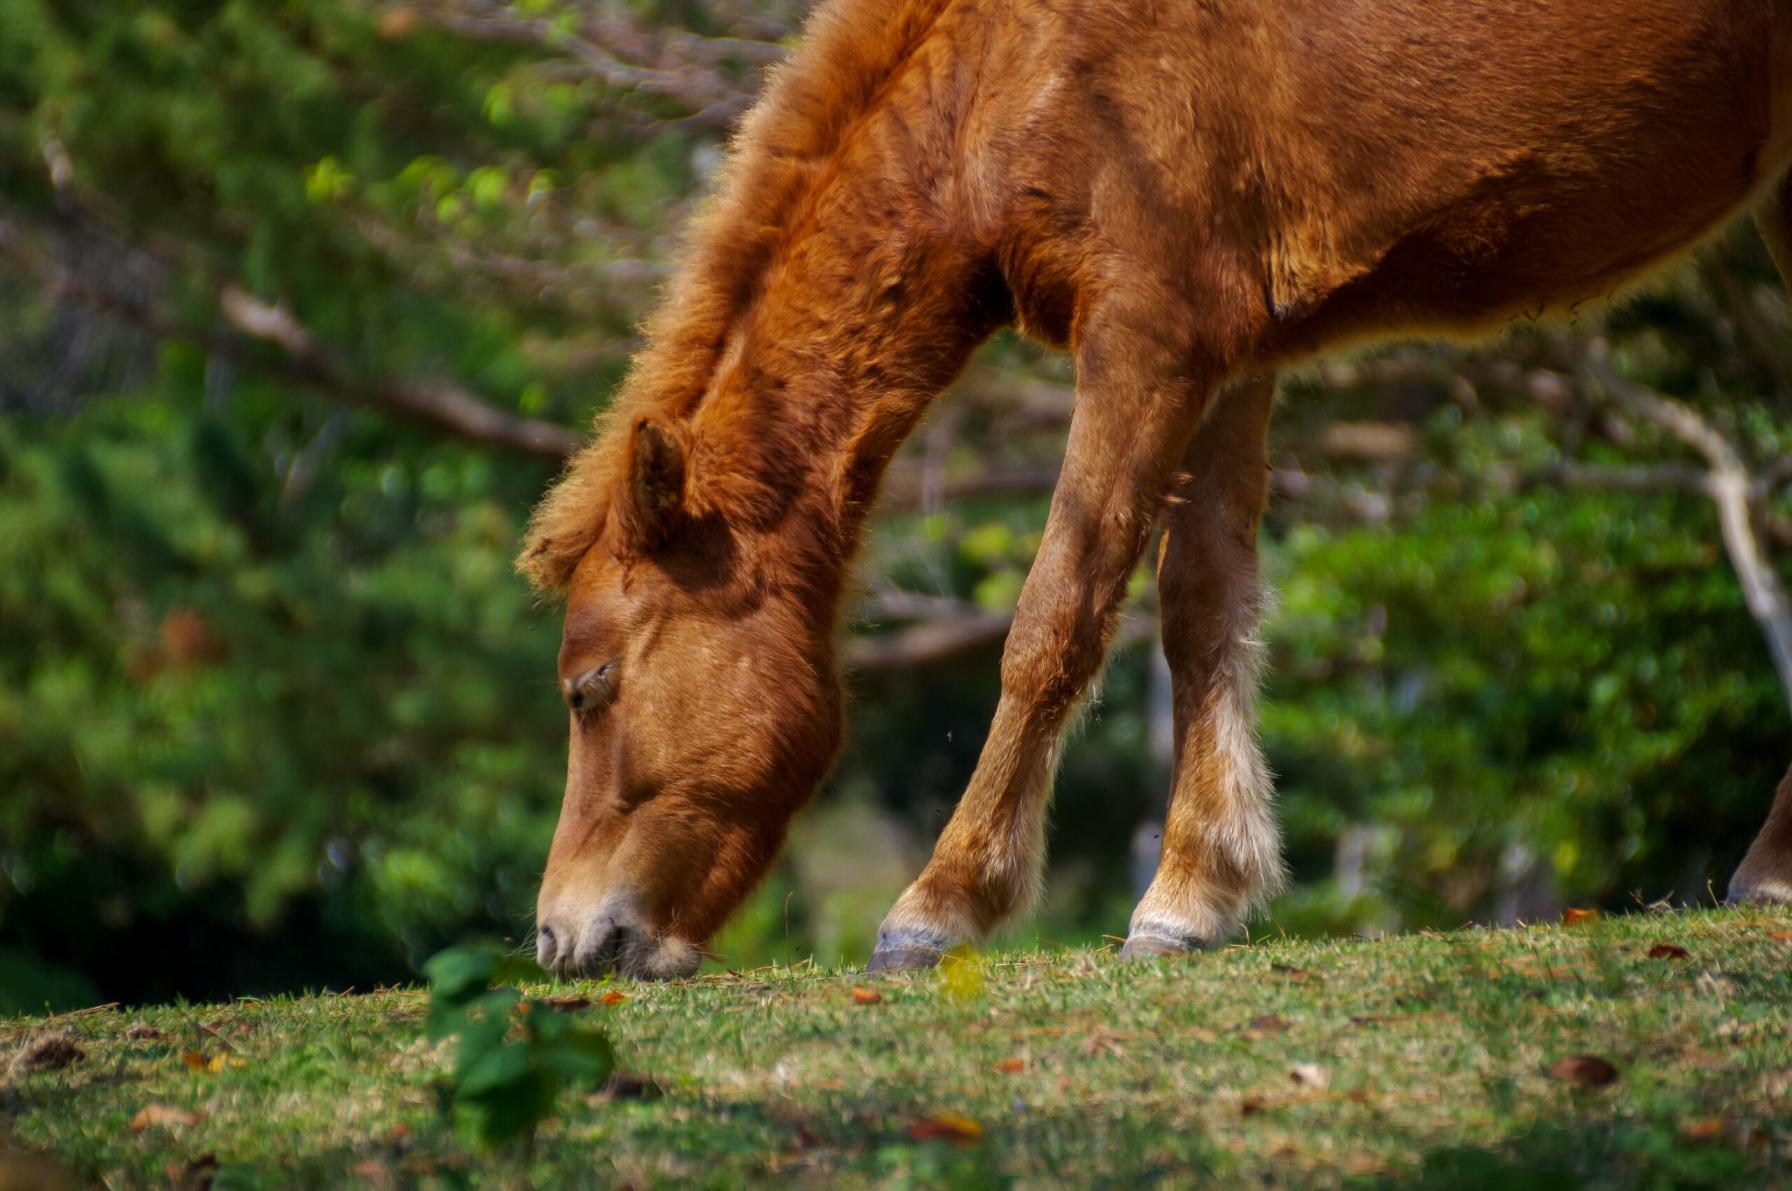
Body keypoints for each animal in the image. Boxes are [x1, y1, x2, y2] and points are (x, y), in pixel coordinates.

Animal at [516, 0, 1792, 974]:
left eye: (589, 687)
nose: (556, 941)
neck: (1011, 67)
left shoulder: (1146, 341)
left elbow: (1055, 619)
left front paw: (940, 904)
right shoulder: (1231, 350)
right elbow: (1201, 608)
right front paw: (1192, 894)